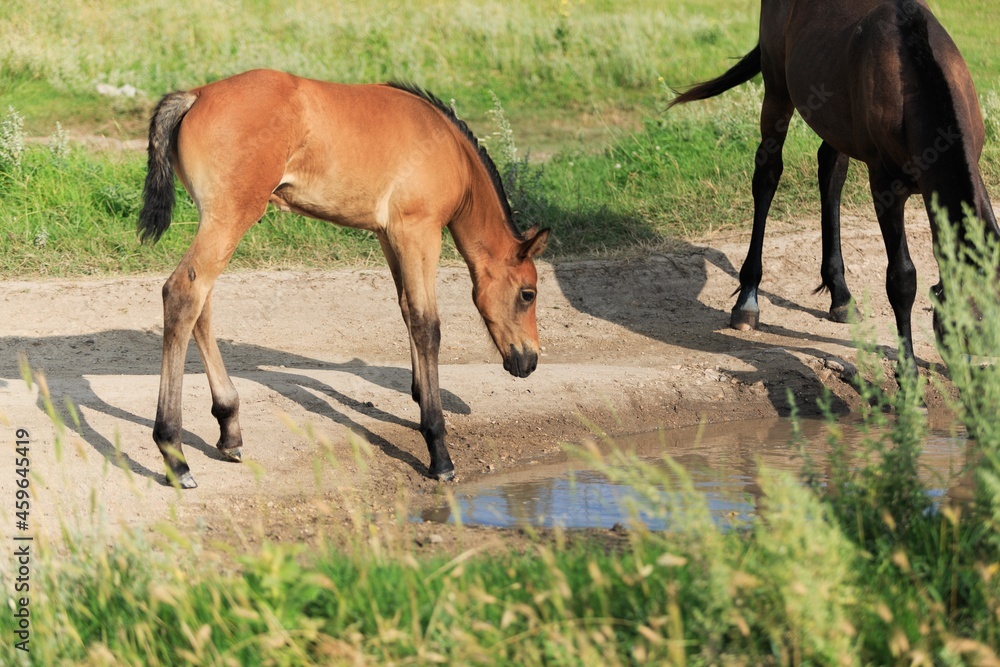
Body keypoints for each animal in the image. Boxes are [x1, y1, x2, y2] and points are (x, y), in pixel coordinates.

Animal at [138, 70, 552, 488]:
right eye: (528, 294)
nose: (530, 362)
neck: (449, 150)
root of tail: (196, 95)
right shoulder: (418, 232)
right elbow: (427, 325)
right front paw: (438, 448)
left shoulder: (388, 235)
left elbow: (406, 310)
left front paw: (420, 395)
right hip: (231, 216)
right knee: (183, 294)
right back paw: (175, 455)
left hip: (215, 219)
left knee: (201, 305)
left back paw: (229, 430)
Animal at [668, 0, 996, 366]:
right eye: (962, 331)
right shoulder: (885, 186)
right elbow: (902, 279)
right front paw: (908, 373)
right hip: (777, 89)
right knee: (767, 174)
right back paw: (748, 300)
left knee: (830, 171)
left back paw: (839, 295)